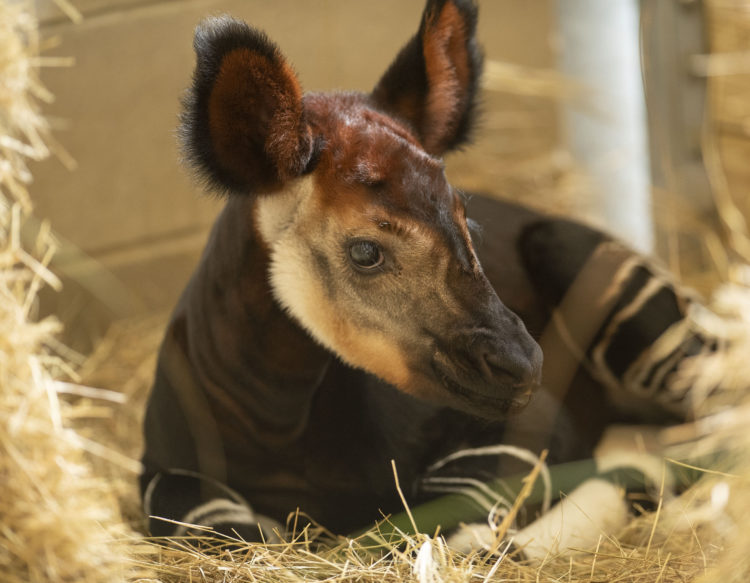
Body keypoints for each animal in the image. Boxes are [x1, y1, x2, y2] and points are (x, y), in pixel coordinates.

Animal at [142, 0, 716, 540]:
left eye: (469, 223)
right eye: (365, 252)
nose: (524, 366)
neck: (278, 421)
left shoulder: (533, 425)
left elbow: (438, 517)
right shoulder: (163, 476)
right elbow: (223, 530)